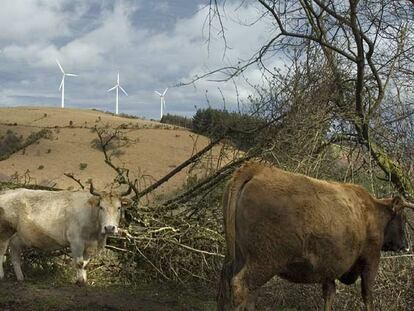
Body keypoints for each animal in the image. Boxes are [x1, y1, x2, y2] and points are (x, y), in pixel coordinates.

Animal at [0, 185, 131, 286]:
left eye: (119, 207)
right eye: (101, 207)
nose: (109, 228)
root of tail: (6, 192)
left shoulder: (90, 245)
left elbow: (85, 264)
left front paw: (84, 281)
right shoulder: (76, 241)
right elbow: (79, 262)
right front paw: (79, 282)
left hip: (17, 238)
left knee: (14, 255)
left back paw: (20, 278)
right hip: (4, 232)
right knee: (1, 252)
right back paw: (2, 276)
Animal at [218, 162, 412, 311]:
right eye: (402, 218)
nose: (406, 244)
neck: (373, 211)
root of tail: (258, 169)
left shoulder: (328, 269)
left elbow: (329, 295)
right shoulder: (371, 259)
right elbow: (367, 295)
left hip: (240, 256)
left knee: (234, 284)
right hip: (265, 260)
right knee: (241, 285)